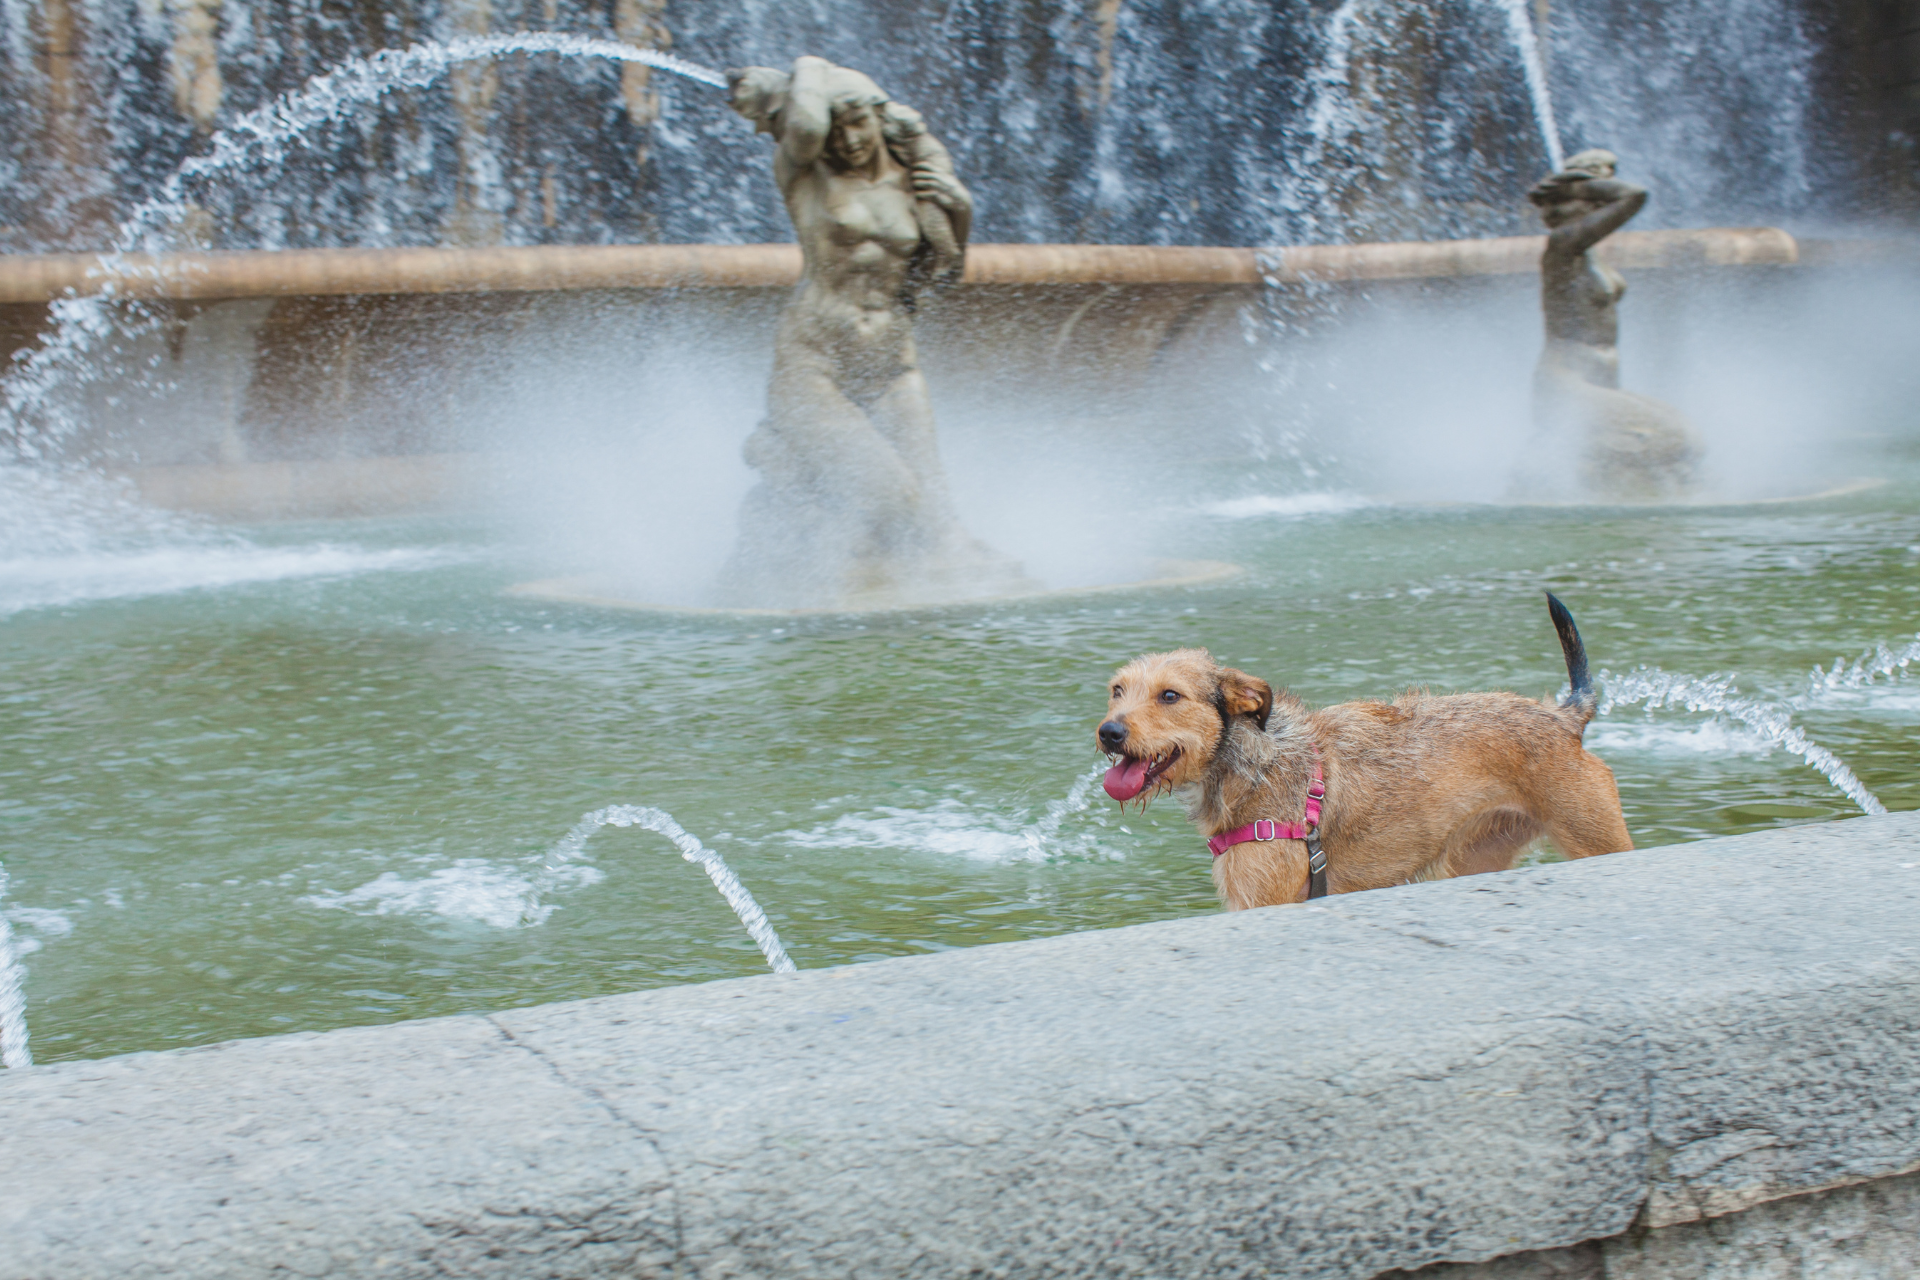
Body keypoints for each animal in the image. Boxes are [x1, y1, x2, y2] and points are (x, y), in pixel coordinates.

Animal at [1105, 594, 1628, 905]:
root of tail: (1563, 717)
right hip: (1473, 858)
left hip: (1599, 838)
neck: (1254, 761)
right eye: (1116, 690)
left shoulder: (1264, 899)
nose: (1108, 732)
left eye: (1170, 696)